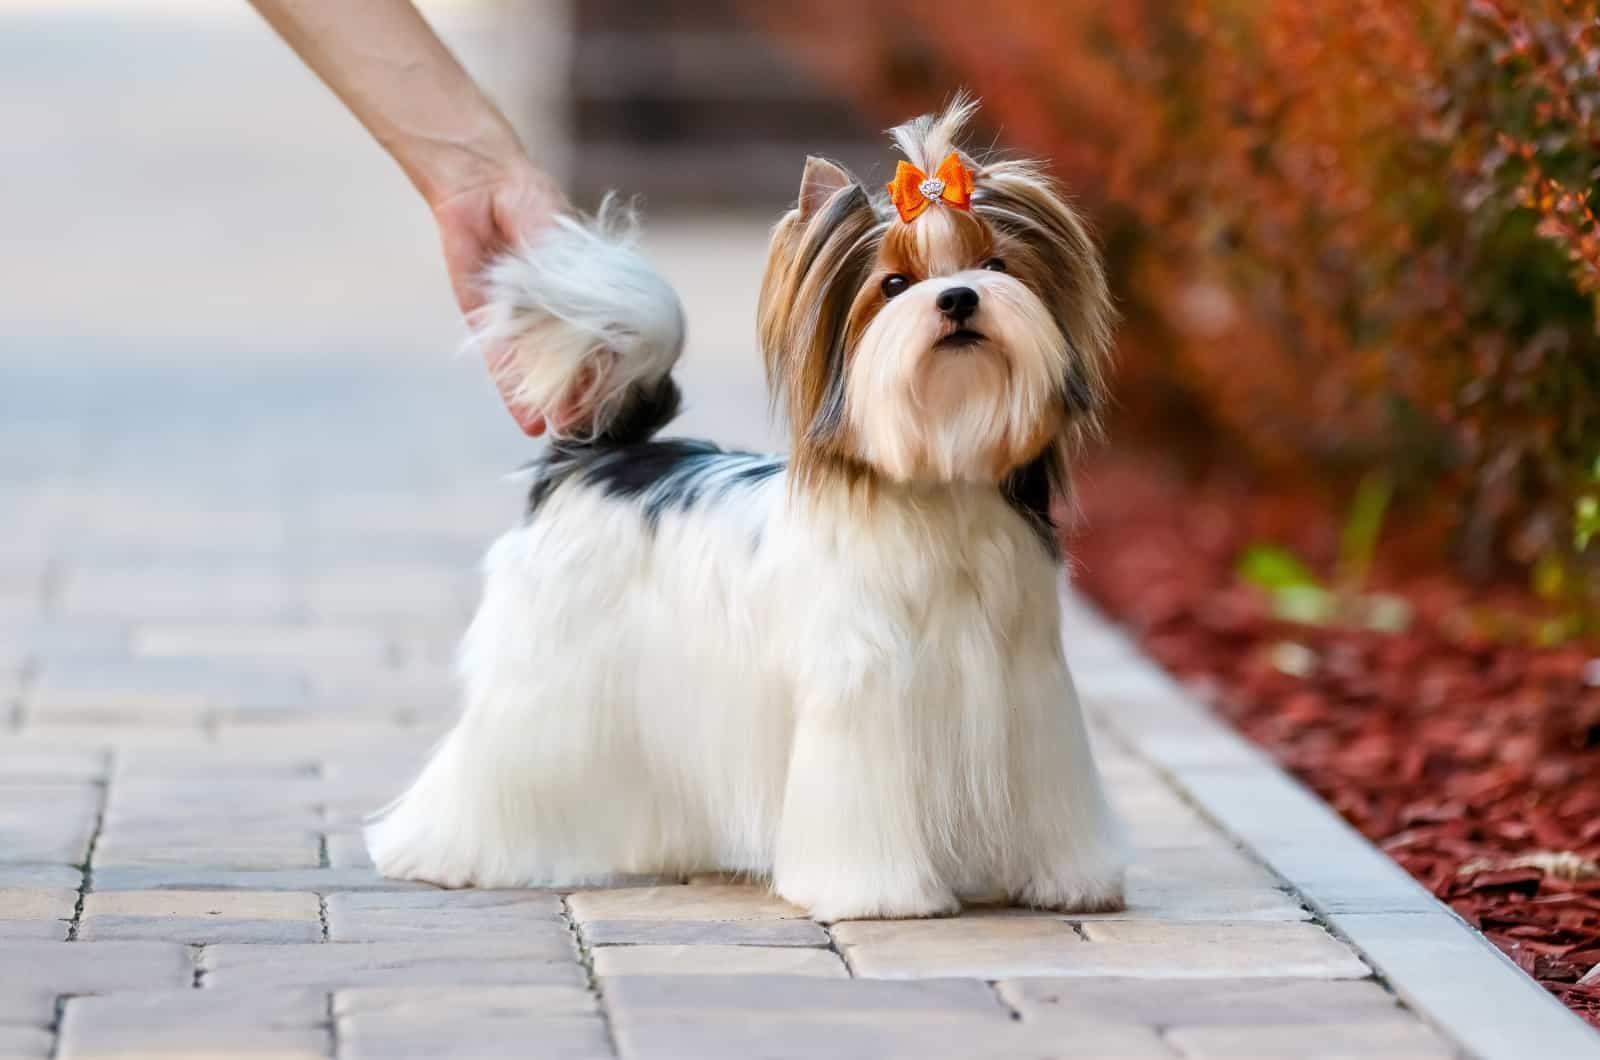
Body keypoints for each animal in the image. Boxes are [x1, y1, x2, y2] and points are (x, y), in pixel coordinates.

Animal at [368, 97, 1132, 922]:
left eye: (996, 266)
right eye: (894, 284)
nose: (958, 297)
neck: (940, 477)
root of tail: (597, 454)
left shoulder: (1030, 688)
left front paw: (1068, 878)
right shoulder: (860, 692)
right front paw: (879, 894)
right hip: (549, 676)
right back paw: (443, 852)